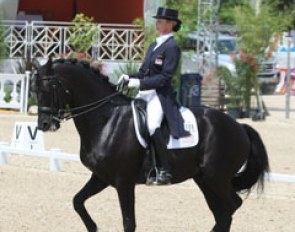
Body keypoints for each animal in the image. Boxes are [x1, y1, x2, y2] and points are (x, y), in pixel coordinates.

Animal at [32, 58, 270, 232]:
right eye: (35, 90)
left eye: (50, 87)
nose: (44, 124)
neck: (107, 119)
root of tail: (240, 126)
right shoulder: (101, 177)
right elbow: (77, 201)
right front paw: (94, 227)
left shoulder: (124, 182)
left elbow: (129, 223)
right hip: (204, 179)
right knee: (223, 214)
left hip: (216, 177)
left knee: (231, 207)